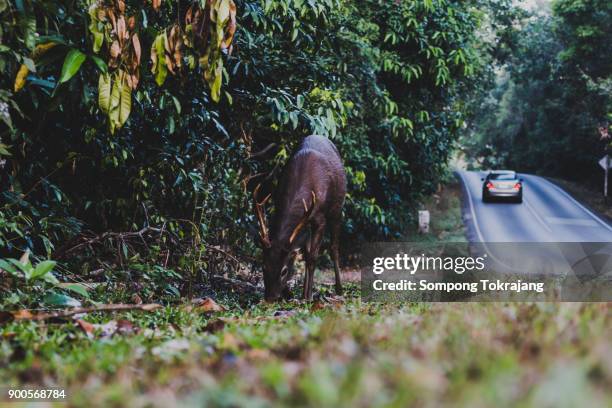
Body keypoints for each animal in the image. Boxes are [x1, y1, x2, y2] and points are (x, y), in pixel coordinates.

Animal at [253, 135, 346, 302]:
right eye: (264, 266)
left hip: (337, 209)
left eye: (284, 271)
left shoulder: (320, 218)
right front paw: (296, 294)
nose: (270, 298)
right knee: (307, 250)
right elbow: (305, 253)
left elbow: (313, 257)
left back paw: (338, 289)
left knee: (334, 248)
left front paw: (308, 297)